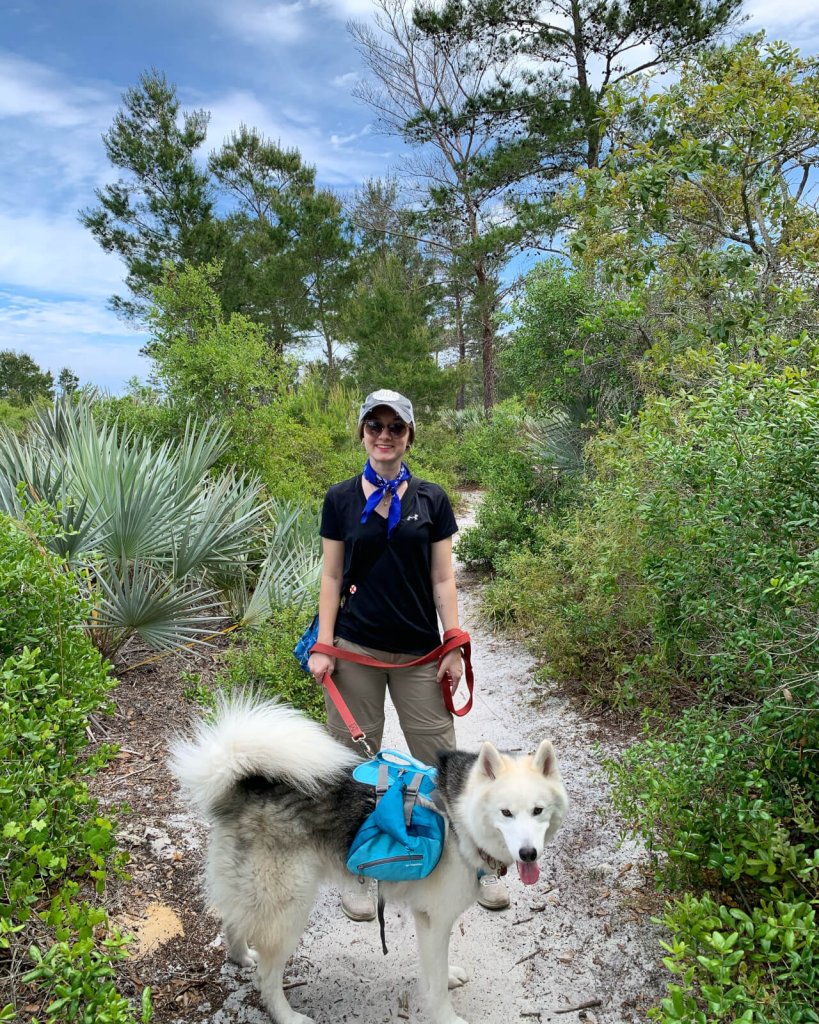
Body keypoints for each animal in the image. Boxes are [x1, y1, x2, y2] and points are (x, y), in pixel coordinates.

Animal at [170, 696, 569, 1024]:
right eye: (506, 813)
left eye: (537, 811)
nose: (528, 854)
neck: (459, 816)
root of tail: (243, 782)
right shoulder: (436, 918)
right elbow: (437, 984)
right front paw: (447, 1016)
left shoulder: (427, 920)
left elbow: (434, 968)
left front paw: (445, 977)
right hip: (289, 912)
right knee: (267, 979)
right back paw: (287, 1015)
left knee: (232, 922)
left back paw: (241, 957)